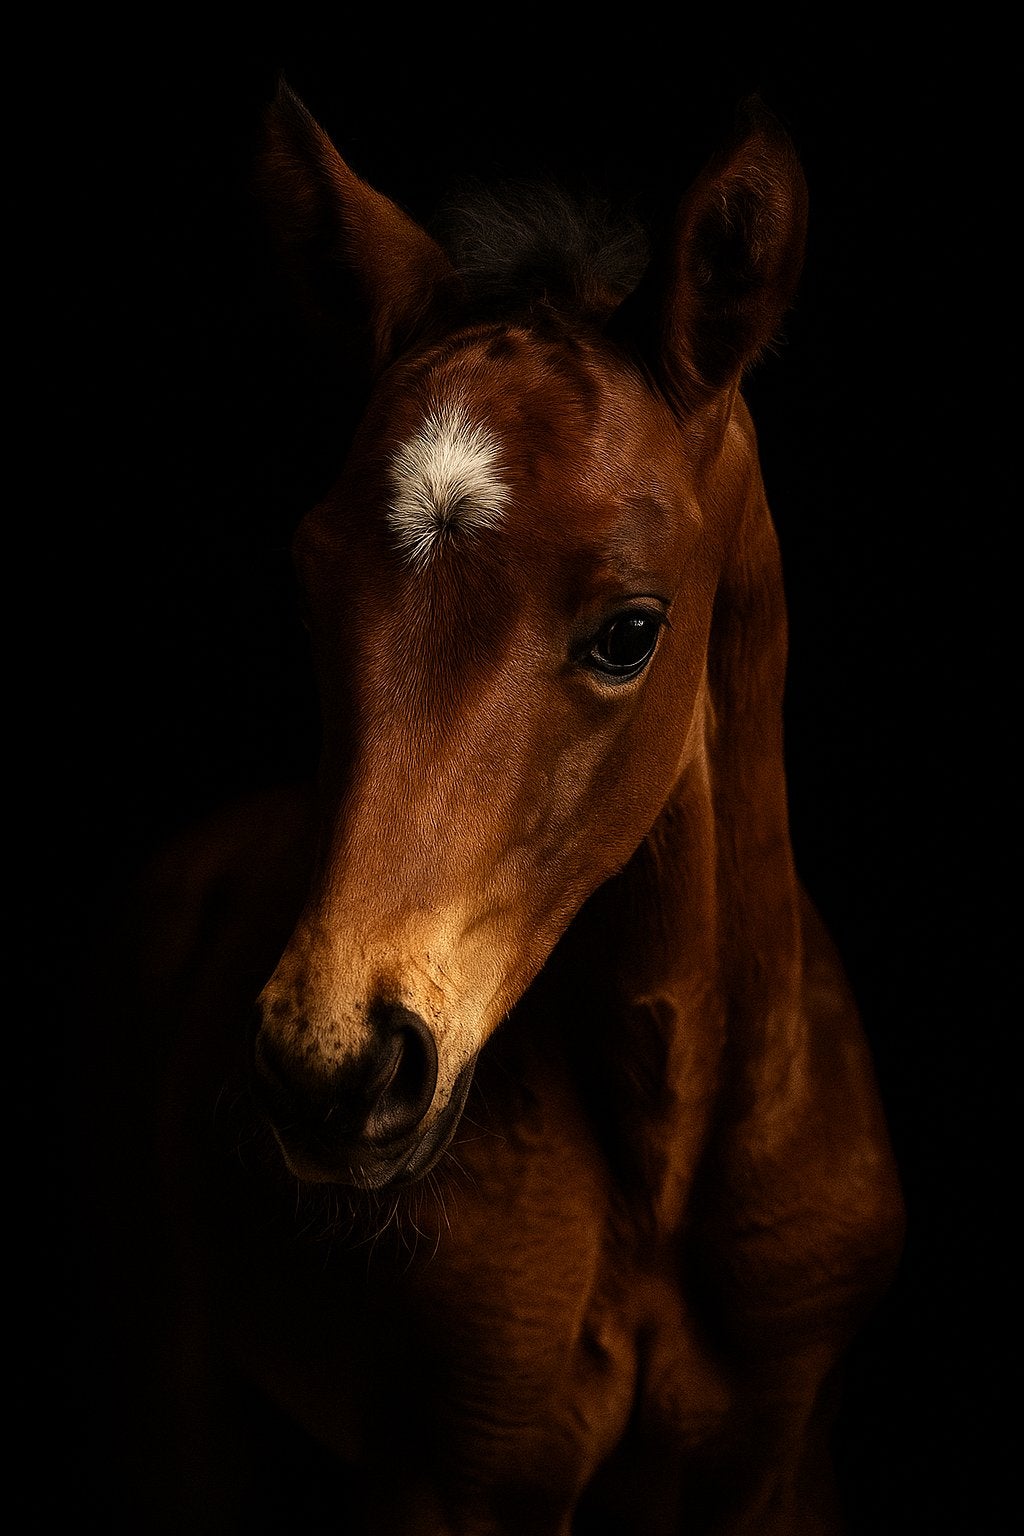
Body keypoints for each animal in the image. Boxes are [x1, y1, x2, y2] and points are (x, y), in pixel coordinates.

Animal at [108, 79, 905, 1535]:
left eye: (630, 631)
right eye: (307, 585)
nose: (330, 1068)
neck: (664, 1159)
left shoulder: (784, 1462)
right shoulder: (453, 1473)